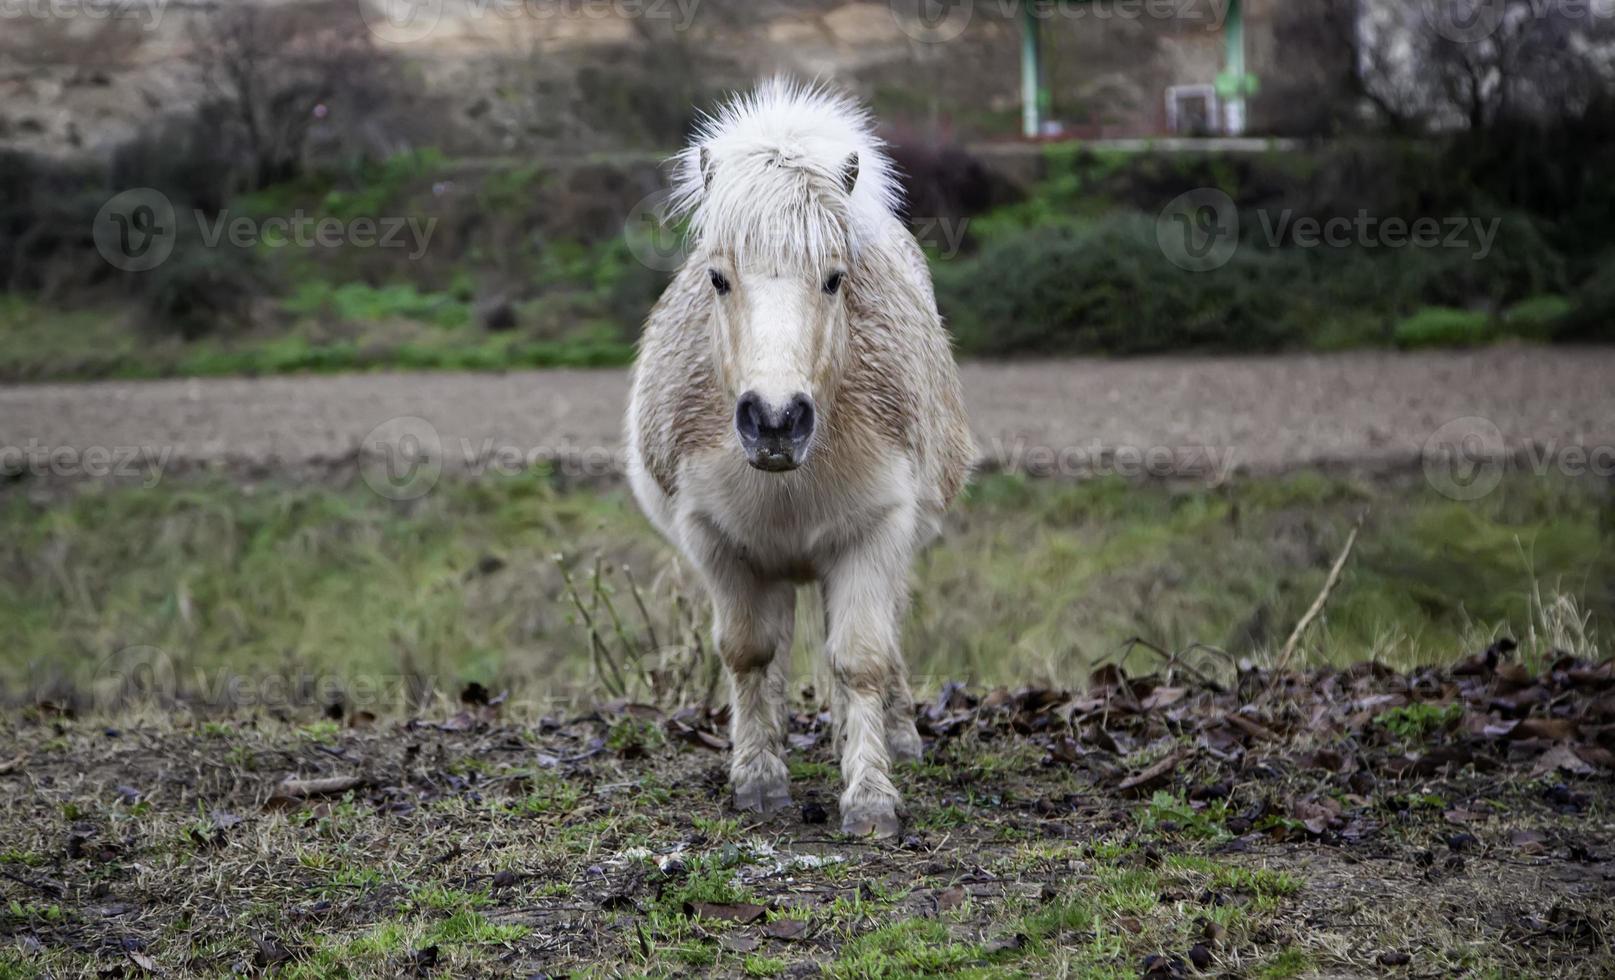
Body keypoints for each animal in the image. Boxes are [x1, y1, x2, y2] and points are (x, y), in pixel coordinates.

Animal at [623, 80, 962, 839]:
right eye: (717, 279)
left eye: (834, 279)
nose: (775, 420)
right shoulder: (718, 543)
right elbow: (748, 653)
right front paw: (757, 780)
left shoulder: (875, 536)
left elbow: (861, 660)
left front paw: (870, 796)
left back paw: (894, 737)